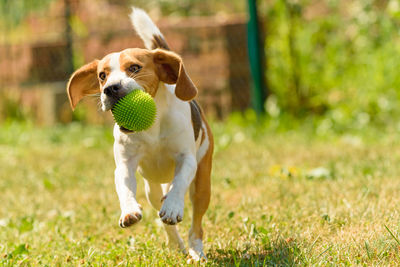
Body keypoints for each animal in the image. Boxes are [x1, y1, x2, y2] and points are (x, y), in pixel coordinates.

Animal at [66, 7, 212, 262]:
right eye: (102, 75)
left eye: (134, 68)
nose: (110, 89)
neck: (151, 125)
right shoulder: (125, 164)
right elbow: (124, 187)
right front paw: (129, 211)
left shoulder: (187, 159)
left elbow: (180, 182)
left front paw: (173, 206)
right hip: (151, 189)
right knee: (164, 215)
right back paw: (176, 244)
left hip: (203, 183)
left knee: (196, 223)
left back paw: (196, 249)